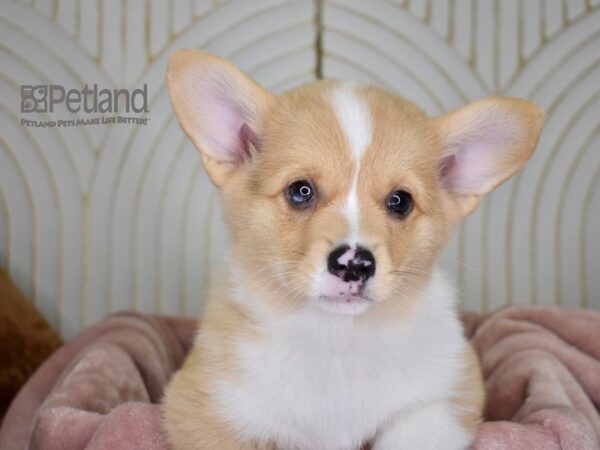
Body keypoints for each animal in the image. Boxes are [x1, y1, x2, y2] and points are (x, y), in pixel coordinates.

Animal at [162, 50, 548, 450]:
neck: (338, 338)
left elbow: (408, 435)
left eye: (400, 201)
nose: (355, 265)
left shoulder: (451, 393)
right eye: (300, 190)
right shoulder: (206, 408)